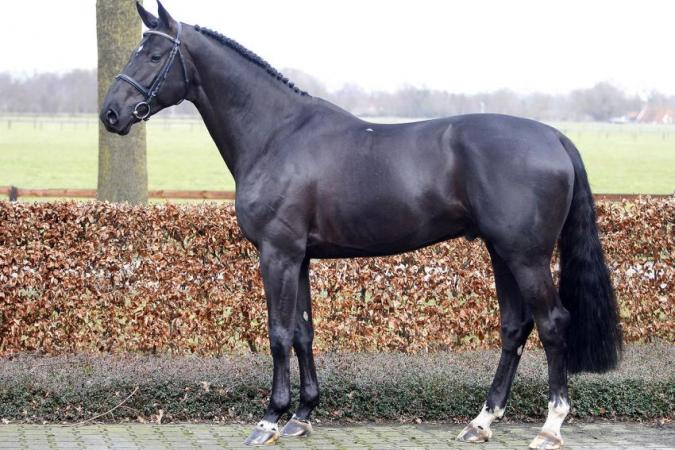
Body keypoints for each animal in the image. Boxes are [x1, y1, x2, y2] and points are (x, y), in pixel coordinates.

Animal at [100, 2, 622, 448]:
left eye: (152, 54)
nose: (111, 113)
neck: (276, 134)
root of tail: (554, 137)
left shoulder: (277, 254)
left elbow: (278, 333)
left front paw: (269, 420)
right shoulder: (300, 257)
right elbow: (303, 332)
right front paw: (302, 417)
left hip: (526, 256)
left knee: (552, 323)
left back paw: (550, 427)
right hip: (502, 252)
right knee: (515, 327)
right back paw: (481, 423)